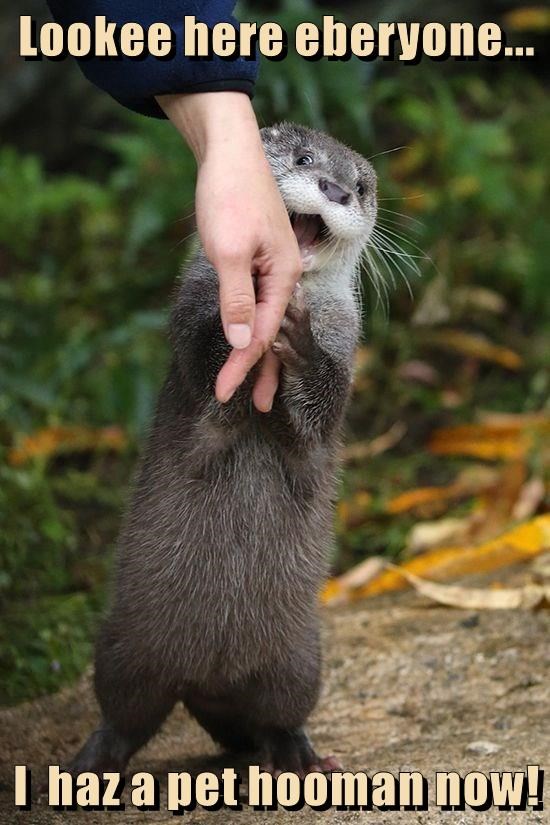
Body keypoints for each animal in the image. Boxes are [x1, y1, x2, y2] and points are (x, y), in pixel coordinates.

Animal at [67, 123, 377, 776]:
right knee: (125, 713)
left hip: (300, 659)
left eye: (361, 187)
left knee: (280, 715)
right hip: (123, 646)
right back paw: (92, 762)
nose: (336, 189)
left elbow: (316, 416)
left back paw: (300, 754)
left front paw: (299, 342)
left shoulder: (345, 357)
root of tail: (209, 681)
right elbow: (211, 369)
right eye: (304, 158)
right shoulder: (191, 318)